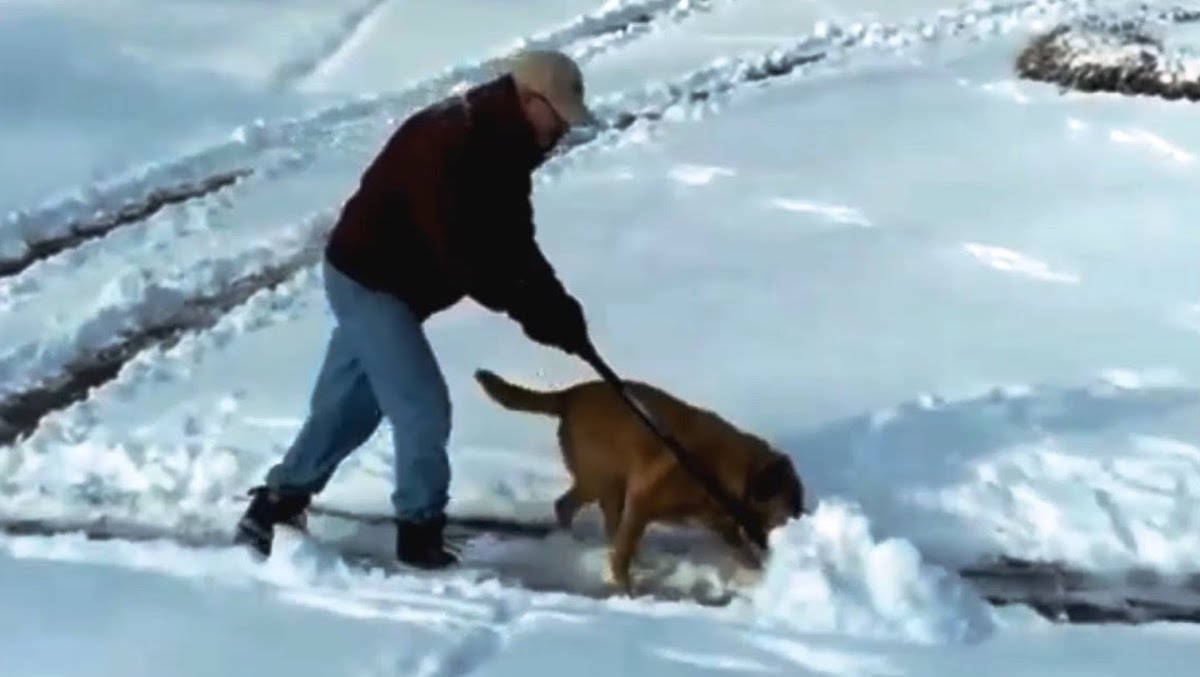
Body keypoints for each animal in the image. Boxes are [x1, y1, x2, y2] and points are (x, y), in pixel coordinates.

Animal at [472, 367, 801, 595]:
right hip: (605, 480)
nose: (801, 520)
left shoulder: (722, 524)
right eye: (789, 505)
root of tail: (570, 395)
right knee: (571, 507)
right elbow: (623, 554)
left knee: (575, 510)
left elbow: (744, 552)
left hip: (605, 484)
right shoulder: (641, 502)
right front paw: (627, 591)